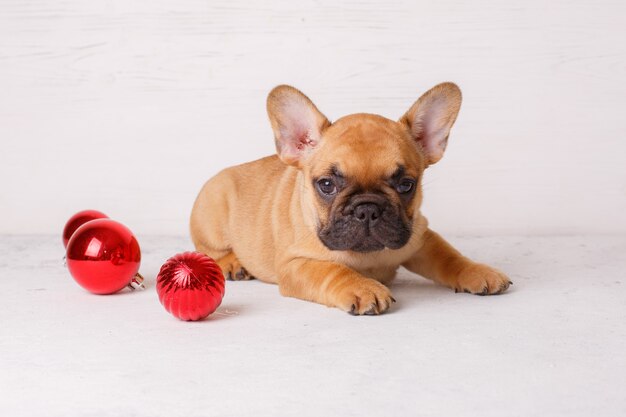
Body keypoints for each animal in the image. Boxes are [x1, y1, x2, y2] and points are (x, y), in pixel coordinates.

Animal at [189, 82, 508, 316]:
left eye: (406, 184)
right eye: (327, 185)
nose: (367, 209)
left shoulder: (421, 238)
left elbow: (449, 256)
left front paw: (478, 271)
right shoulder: (295, 264)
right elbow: (332, 269)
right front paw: (362, 287)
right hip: (213, 209)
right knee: (210, 249)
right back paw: (233, 263)